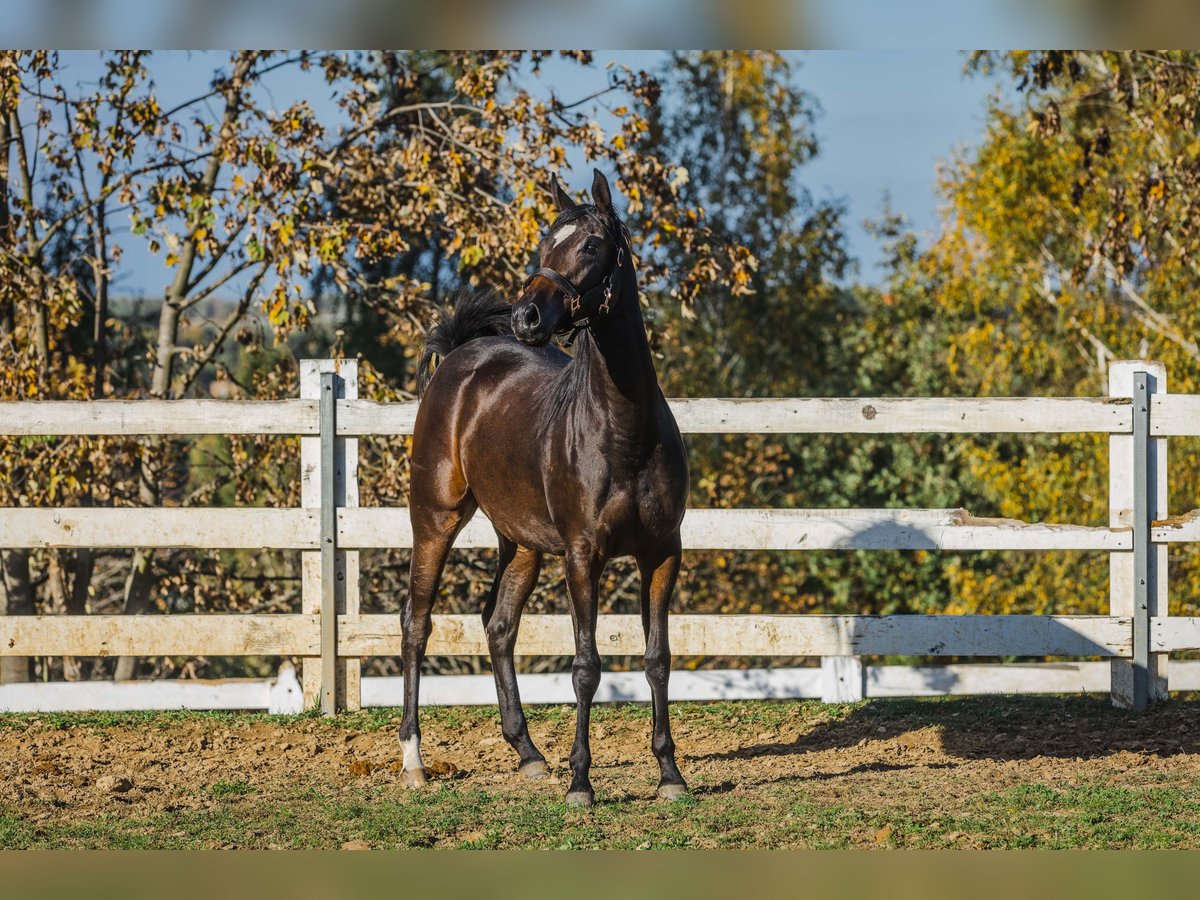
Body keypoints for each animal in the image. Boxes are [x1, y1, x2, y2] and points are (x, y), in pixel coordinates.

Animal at [400, 169, 691, 811]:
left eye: (591, 246)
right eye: (542, 247)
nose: (528, 317)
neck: (625, 431)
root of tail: (460, 356)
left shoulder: (662, 554)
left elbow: (657, 659)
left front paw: (670, 774)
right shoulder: (583, 556)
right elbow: (586, 666)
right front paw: (582, 782)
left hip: (523, 543)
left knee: (498, 624)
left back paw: (528, 752)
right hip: (434, 520)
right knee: (416, 623)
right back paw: (413, 761)